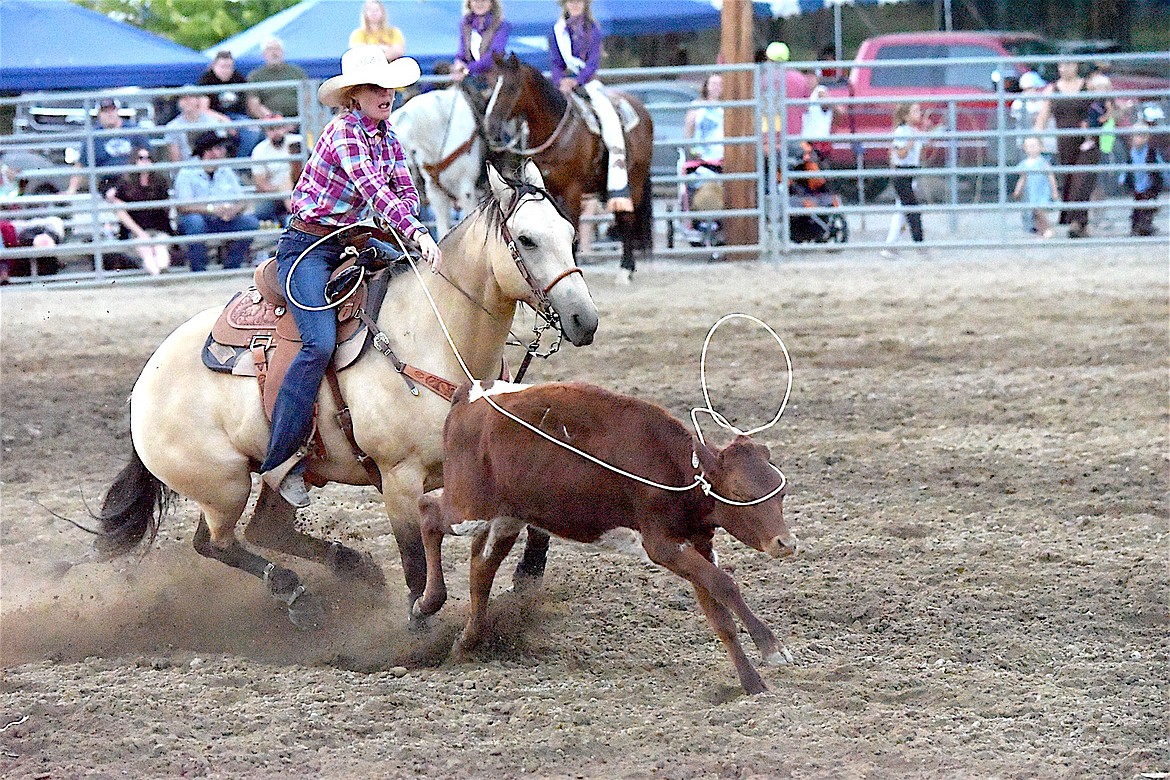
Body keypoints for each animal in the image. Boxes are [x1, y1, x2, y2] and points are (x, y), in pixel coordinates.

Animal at [416, 381, 800, 692]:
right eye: (740, 493)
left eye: (780, 492)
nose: (786, 543)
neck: (678, 472)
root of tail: (470, 394)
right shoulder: (662, 545)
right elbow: (724, 584)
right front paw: (773, 648)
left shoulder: (698, 545)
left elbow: (719, 612)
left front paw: (752, 685)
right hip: (467, 506)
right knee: (428, 511)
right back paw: (427, 603)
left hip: (507, 516)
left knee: (481, 570)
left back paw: (466, 642)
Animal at [479, 53, 655, 277]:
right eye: (491, 85)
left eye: (511, 87)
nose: (490, 127)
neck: (557, 136)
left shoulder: (573, 191)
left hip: (633, 182)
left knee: (627, 220)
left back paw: (625, 270)